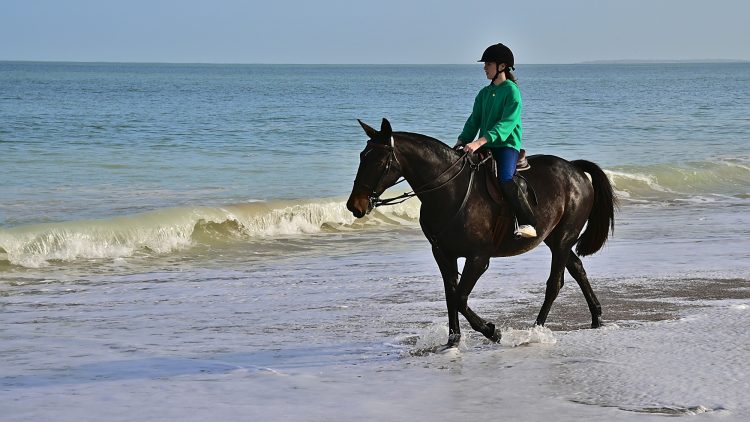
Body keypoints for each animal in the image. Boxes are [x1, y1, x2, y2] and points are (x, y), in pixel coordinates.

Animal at [346, 118, 617, 347]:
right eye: (361, 156)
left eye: (379, 161)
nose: (354, 205)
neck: (449, 191)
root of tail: (575, 169)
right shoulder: (443, 254)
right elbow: (451, 295)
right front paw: (453, 340)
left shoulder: (478, 258)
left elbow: (460, 298)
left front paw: (492, 331)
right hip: (554, 239)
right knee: (577, 268)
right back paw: (596, 317)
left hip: (562, 239)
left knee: (555, 284)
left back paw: (535, 330)